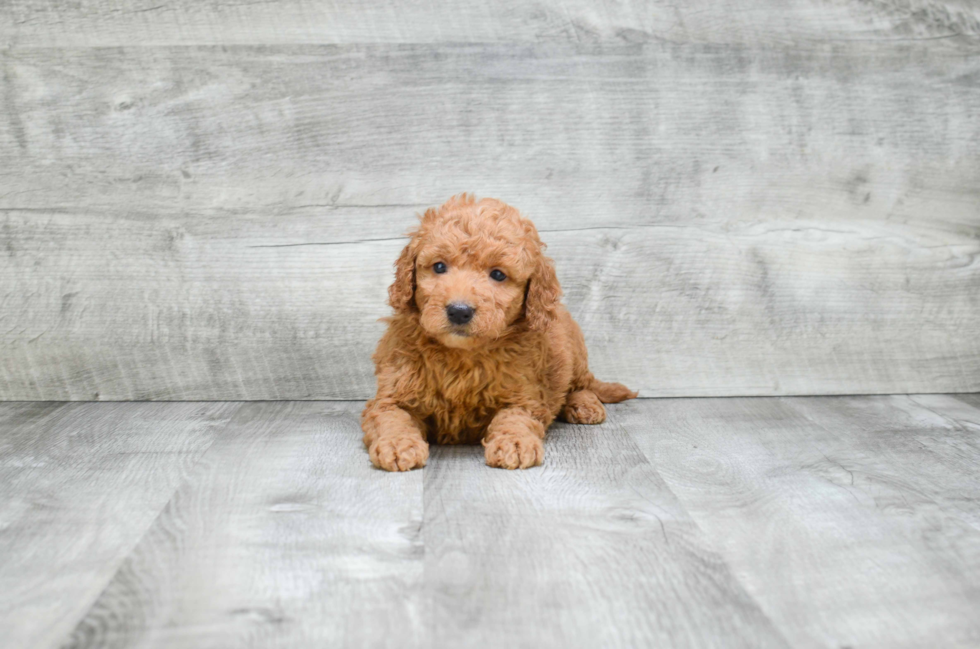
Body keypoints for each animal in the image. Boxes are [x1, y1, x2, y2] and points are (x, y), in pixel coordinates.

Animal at [360, 194, 636, 470]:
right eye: (439, 267)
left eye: (498, 274)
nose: (459, 311)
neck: (461, 357)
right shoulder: (390, 395)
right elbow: (391, 417)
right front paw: (397, 444)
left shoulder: (525, 396)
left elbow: (515, 418)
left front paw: (515, 443)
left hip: (575, 351)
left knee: (582, 383)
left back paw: (584, 405)